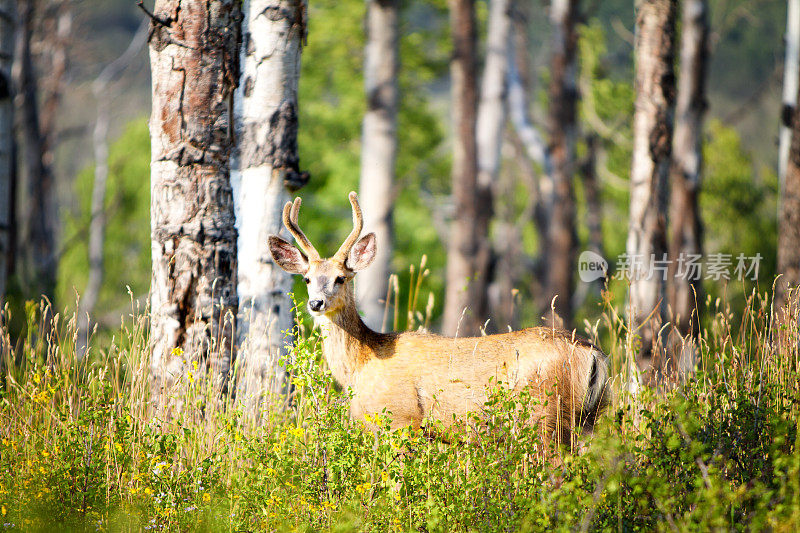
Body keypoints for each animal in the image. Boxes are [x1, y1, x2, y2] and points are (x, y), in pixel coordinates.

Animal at [268, 190, 612, 444]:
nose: (316, 303)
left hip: (545, 413)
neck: (363, 364)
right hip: (588, 419)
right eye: (307, 279)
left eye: (340, 278)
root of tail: (592, 352)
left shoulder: (402, 419)